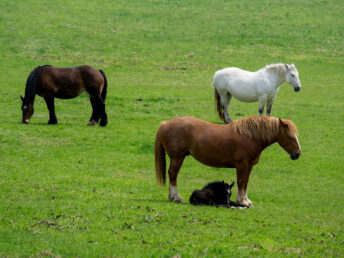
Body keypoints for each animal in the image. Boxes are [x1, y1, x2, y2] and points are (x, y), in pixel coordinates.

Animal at [154, 116, 300, 207]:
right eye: (289, 136)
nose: (297, 154)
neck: (250, 136)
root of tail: (164, 124)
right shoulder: (242, 165)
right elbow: (241, 182)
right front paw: (242, 201)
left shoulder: (249, 166)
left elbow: (246, 183)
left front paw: (246, 200)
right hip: (177, 157)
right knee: (173, 174)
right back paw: (176, 197)